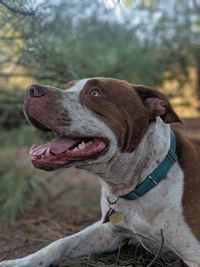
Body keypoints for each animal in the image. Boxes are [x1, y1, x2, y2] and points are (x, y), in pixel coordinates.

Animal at [0, 78, 199, 267]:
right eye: (68, 87)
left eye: (95, 93)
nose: (31, 90)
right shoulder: (109, 232)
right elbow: (61, 243)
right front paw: (20, 262)